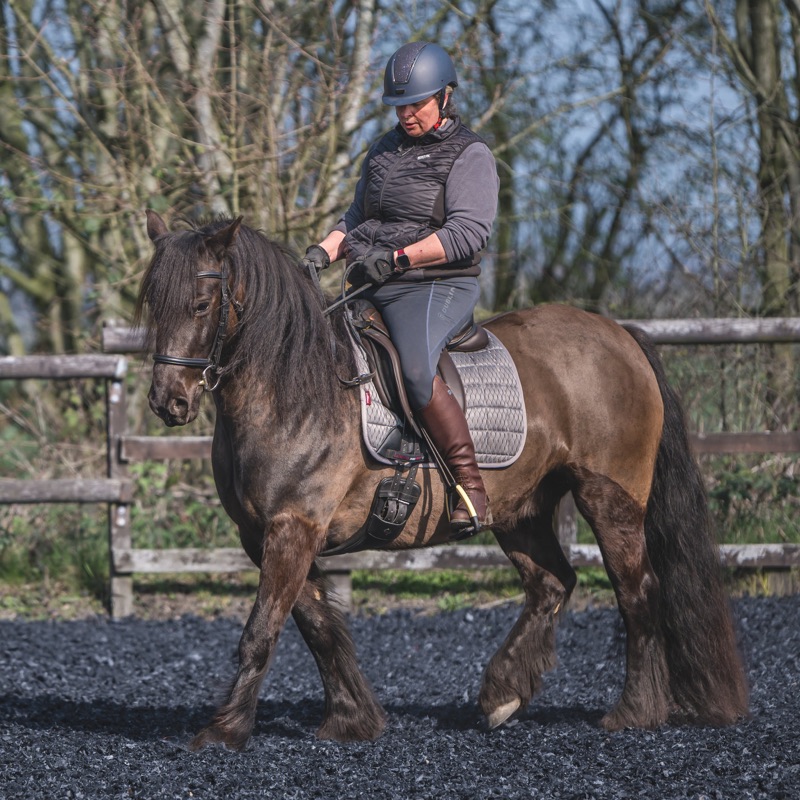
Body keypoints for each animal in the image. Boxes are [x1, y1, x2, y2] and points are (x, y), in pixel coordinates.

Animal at [136, 211, 748, 751]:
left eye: (200, 304)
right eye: (152, 306)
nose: (169, 403)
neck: (295, 391)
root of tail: (618, 334)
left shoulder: (293, 527)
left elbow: (263, 630)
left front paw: (224, 731)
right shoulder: (268, 535)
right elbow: (318, 627)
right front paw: (353, 719)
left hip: (609, 496)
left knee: (636, 591)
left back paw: (633, 712)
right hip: (520, 510)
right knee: (552, 584)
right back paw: (502, 694)